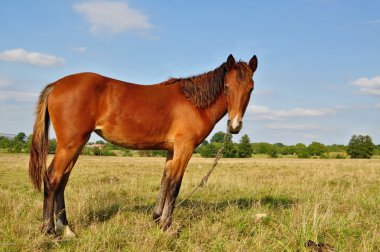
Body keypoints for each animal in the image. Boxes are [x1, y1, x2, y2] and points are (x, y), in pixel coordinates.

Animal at [28, 53, 256, 236]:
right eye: (227, 87)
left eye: (251, 89)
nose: (234, 126)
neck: (195, 102)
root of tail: (57, 85)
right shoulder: (184, 148)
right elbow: (175, 185)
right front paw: (167, 226)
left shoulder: (171, 151)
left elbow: (165, 181)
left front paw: (156, 219)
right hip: (70, 145)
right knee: (52, 178)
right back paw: (49, 231)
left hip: (77, 144)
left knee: (62, 181)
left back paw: (66, 229)